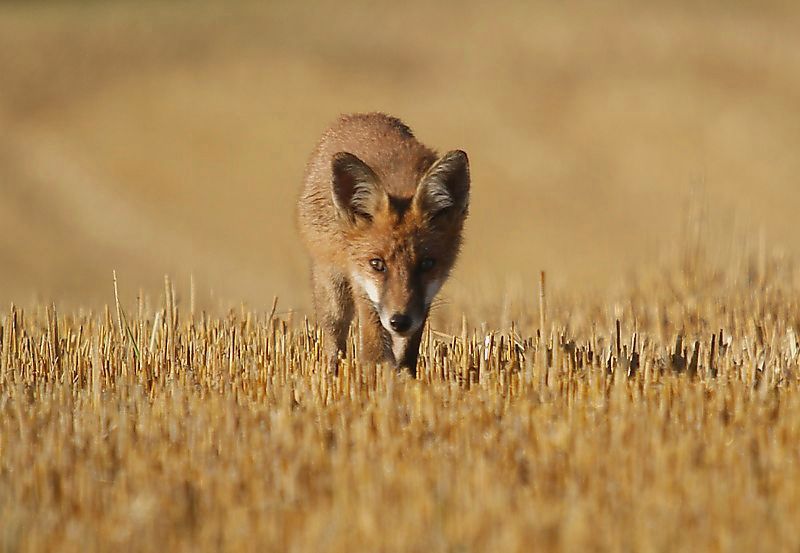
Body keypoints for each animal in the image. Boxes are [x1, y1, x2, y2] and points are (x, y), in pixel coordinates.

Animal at [296, 111, 468, 376]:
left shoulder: (423, 302)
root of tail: (362, 116)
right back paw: (332, 371)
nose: (400, 321)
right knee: (335, 337)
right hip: (332, 287)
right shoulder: (362, 287)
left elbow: (406, 354)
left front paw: (406, 377)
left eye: (427, 264)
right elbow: (374, 353)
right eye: (377, 264)